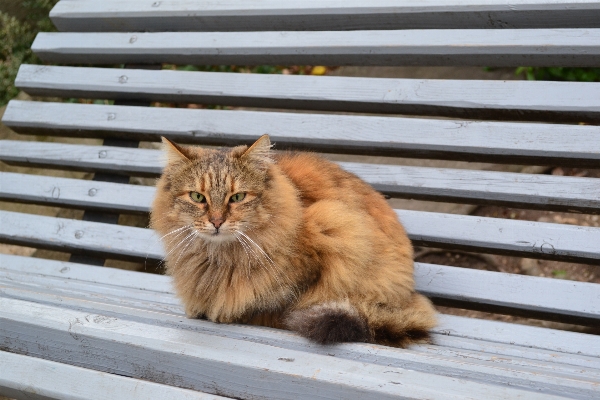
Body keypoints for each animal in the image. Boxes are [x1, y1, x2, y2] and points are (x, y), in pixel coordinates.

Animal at [150, 135, 436, 346]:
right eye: (198, 197)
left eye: (238, 197)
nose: (217, 221)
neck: (220, 259)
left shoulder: (331, 233)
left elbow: (274, 308)